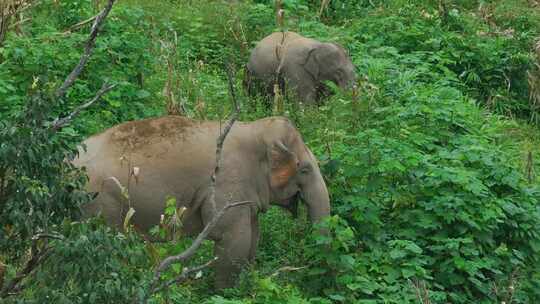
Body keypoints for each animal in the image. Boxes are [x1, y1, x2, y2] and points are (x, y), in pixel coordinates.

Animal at [73, 114, 332, 290]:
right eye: (305, 170)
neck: (255, 128)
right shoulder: (227, 183)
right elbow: (233, 241)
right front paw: (224, 294)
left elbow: (253, 238)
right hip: (99, 202)